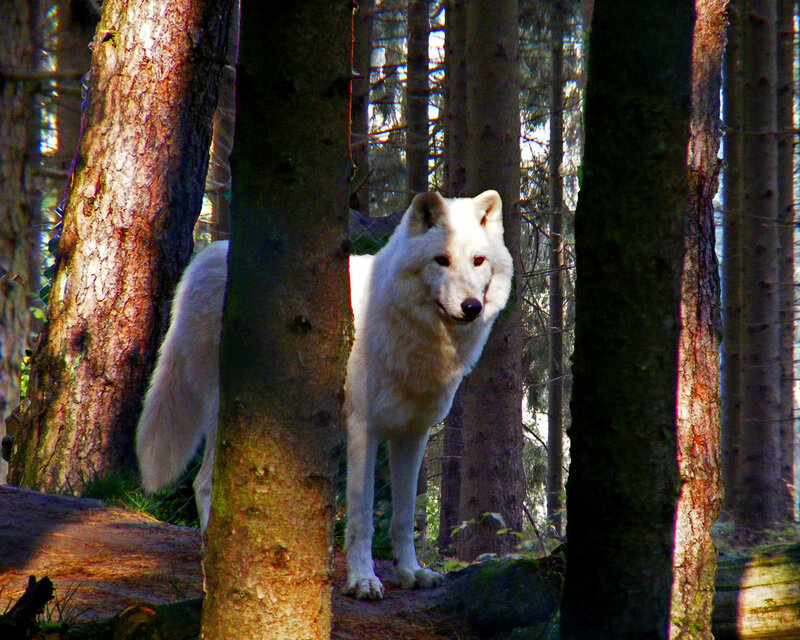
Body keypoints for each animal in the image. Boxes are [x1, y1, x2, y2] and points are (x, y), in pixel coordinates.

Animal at [136, 190, 513, 601]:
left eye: (478, 261)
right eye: (441, 260)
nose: (471, 307)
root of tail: (205, 256)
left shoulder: (414, 434)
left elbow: (403, 516)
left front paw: (410, 572)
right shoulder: (364, 430)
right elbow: (362, 519)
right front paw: (363, 580)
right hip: (229, 410)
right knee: (203, 483)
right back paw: (214, 570)